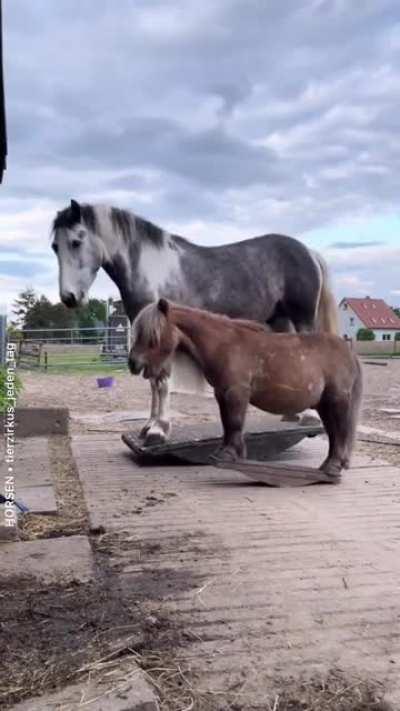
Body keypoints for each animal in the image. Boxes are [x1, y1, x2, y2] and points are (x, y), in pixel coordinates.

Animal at [51, 199, 339, 444]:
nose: (69, 298)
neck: (152, 268)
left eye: (76, 241)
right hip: (280, 321)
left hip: (302, 319)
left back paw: (308, 417)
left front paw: (159, 430)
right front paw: (149, 426)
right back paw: (291, 415)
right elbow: (153, 382)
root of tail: (309, 252)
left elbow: (162, 382)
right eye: (55, 246)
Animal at [129, 299, 362, 478]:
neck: (225, 345)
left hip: (337, 400)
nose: (133, 363)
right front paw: (227, 452)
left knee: (341, 431)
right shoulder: (222, 393)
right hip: (324, 404)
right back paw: (329, 465)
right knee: (333, 432)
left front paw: (229, 454)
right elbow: (228, 425)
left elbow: (234, 422)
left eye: (153, 335)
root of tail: (348, 351)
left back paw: (333, 466)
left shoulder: (236, 392)